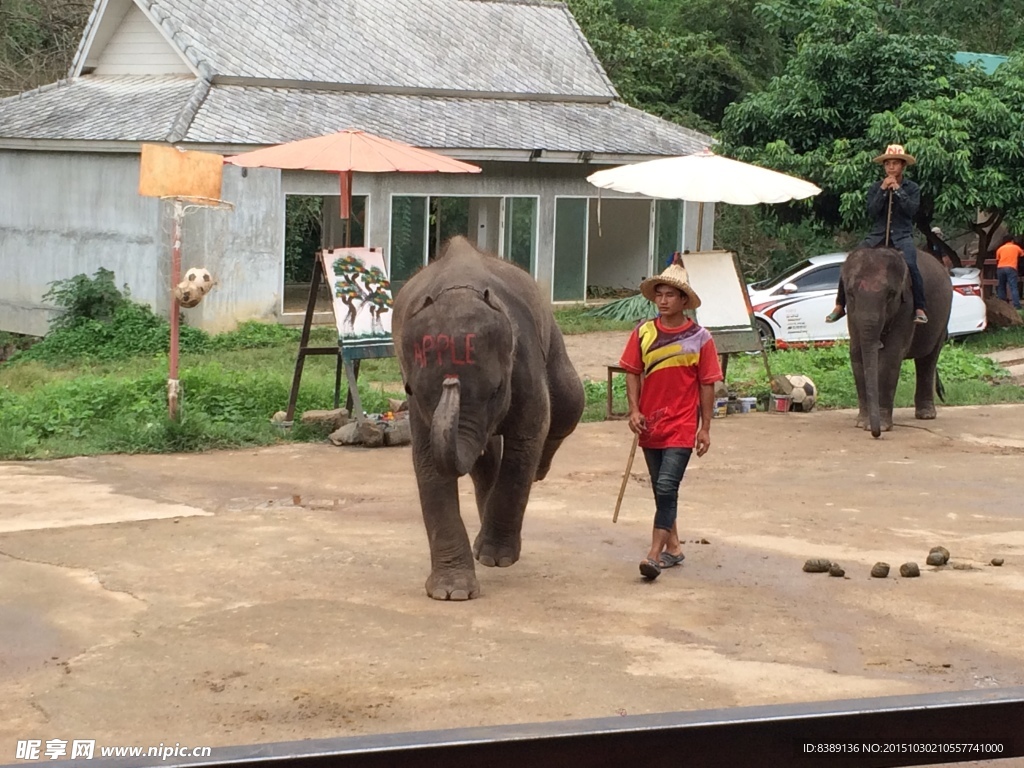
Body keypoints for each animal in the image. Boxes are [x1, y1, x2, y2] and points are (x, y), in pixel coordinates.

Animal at [389, 234, 585, 602]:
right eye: (410, 389)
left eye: (496, 390)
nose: (451, 383)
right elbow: (429, 461)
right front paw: (452, 592)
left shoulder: (523, 362)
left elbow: (527, 438)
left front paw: (499, 560)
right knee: (486, 461)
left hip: (551, 342)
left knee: (569, 402)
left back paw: (537, 475)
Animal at [839, 246, 950, 438]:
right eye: (850, 294)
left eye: (891, 295)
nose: (875, 434)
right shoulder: (852, 315)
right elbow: (856, 355)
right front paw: (861, 424)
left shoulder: (907, 306)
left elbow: (890, 358)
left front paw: (882, 427)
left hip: (943, 317)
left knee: (929, 359)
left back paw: (926, 415)